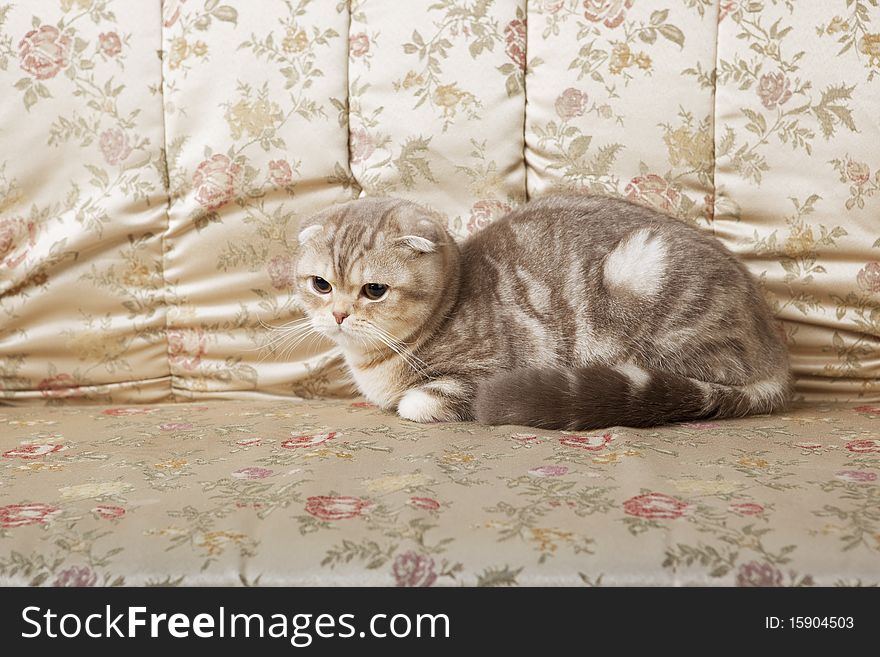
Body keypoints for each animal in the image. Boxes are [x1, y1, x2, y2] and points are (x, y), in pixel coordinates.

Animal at [292, 193, 796, 430]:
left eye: (374, 290)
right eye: (321, 285)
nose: (338, 315)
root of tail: (775, 358)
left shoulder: (485, 371)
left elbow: (416, 402)